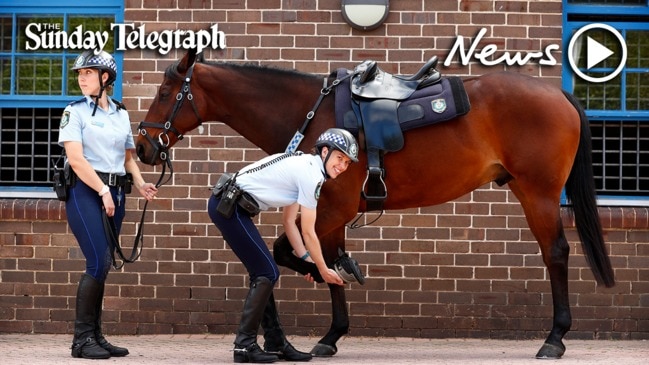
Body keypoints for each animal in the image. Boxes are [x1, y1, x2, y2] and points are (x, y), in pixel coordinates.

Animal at [135, 49, 612, 358]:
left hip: (539, 193)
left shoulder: (333, 209)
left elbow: (289, 253)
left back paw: (554, 339)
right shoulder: (329, 213)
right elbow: (324, 258)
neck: (313, 115)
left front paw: (321, 290)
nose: (143, 147)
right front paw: (332, 331)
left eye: (165, 92)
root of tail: (559, 94)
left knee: (556, 253)